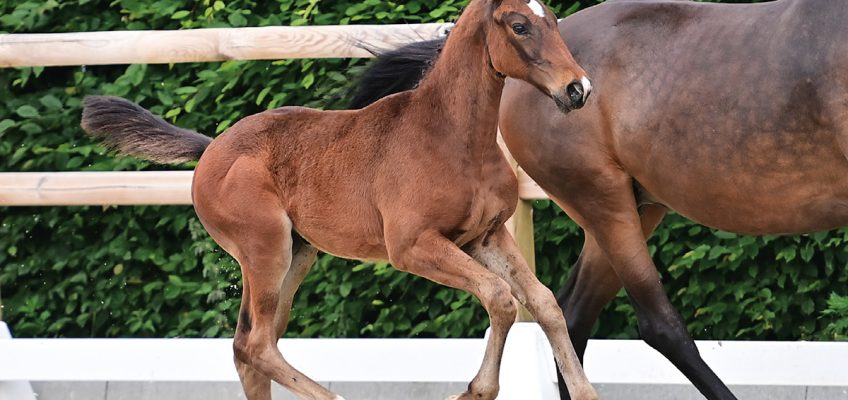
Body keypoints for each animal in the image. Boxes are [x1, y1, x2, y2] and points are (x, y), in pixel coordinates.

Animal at [79, 0, 596, 400]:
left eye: (552, 18)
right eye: (519, 25)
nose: (579, 89)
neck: (451, 137)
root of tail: (210, 150)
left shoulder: (485, 237)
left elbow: (544, 303)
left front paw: (585, 391)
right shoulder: (412, 247)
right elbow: (500, 298)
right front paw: (473, 390)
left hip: (296, 254)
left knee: (251, 345)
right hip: (264, 250)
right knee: (256, 345)